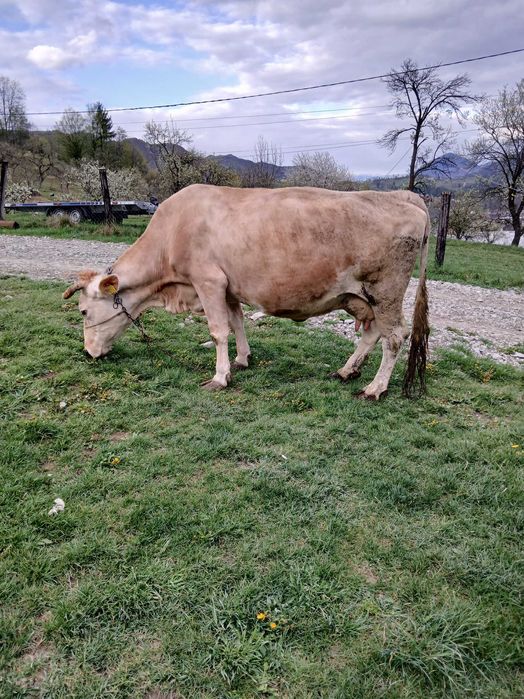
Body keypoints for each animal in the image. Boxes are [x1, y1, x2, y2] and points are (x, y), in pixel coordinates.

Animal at [63, 185, 430, 400]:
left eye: (84, 311)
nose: (88, 352)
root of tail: (405, 195)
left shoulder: (208, 281)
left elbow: (217, 331)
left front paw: (219, 376)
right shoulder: (228, 286)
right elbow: (236, 322)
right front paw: (242, 360)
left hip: (386, 290)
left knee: (394, 336)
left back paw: (375, 388)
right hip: (362, 296)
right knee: (372, 333)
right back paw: (346, 371)